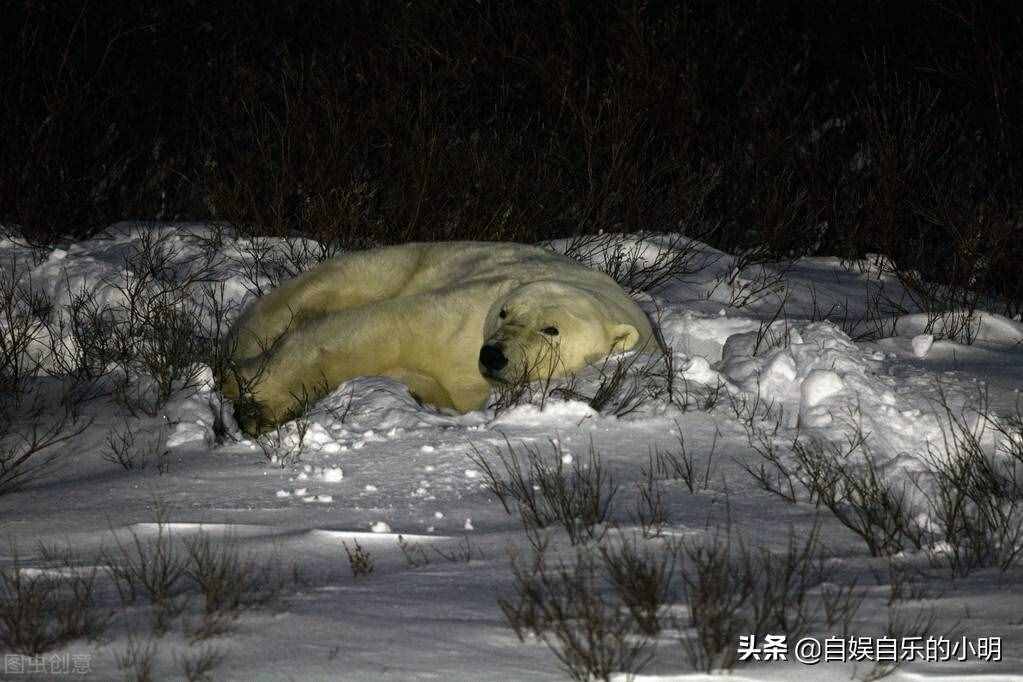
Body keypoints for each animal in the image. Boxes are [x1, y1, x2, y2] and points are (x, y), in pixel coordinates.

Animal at [224, 240, 654, 431]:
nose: (492, 355)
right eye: (504, 311)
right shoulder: (467, 313)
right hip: (385, 267)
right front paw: (258, 403)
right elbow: (384, 328)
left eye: (551, 329)